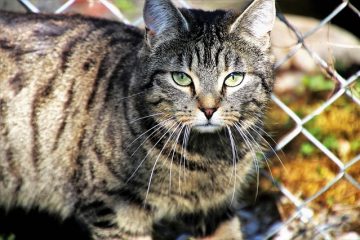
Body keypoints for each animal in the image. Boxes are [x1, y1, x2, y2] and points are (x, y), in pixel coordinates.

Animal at [0, 0, 276, 239]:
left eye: (234, 78)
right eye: (181, 78)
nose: (209, 110)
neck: (207, 158)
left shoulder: (216, 209)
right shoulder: (115, 210)